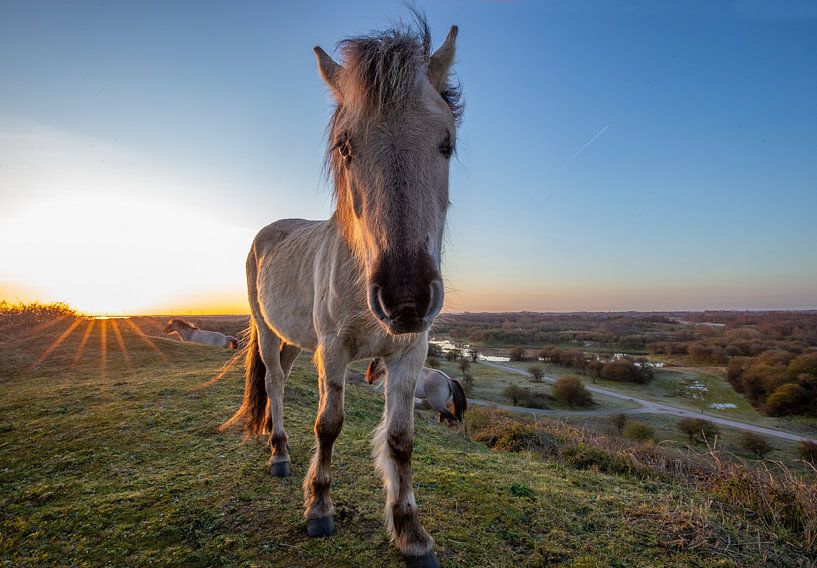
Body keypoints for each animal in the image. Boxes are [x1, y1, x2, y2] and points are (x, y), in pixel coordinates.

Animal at [220, 17, 462, 568]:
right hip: (267, 331)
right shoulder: (333, 350)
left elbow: (400, 439)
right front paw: (319, 508)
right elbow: (328, 424)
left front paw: (411, 532)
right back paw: (280, 454)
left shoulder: (410, 353)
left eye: (447, 142)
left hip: (294, 340)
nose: (405, 297)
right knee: (274, 384)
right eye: (345, 146)